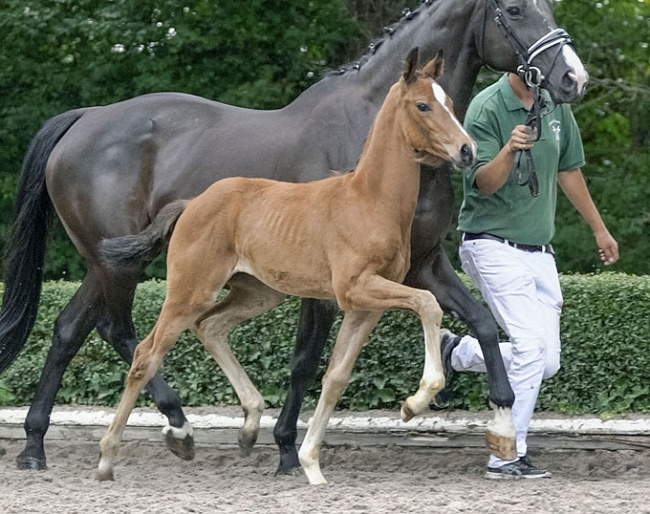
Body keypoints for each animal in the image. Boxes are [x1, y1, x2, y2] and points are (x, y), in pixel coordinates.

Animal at [0, 0, 584, 472]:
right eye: (514, 9)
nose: (572, 78)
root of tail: (82, 120)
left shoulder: (423, 263)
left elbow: (482, 324)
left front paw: (503, 425)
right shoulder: (334, 282)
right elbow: (305, 358)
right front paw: (285, 449)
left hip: (112, 262)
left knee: (70, 328)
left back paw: (35, 446)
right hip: (127, 265)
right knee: (120, 330)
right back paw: (177, 427)